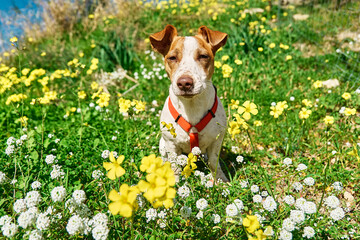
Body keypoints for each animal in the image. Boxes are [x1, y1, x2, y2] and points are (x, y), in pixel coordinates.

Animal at [149, 24, 228, 182]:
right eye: (172, 58)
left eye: (203, 56)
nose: (184, 83)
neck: (191, 106)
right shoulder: (171, 144)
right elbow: (175, 167)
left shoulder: (216, 141)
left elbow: (213, 163)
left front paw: (220, 181)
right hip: (163, 144)